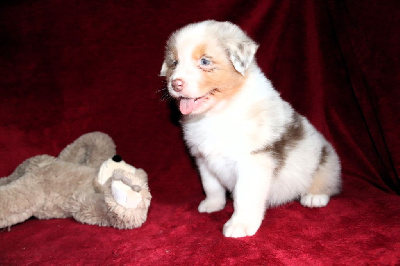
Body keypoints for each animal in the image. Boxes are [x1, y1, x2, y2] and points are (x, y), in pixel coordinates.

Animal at [159, 20, 340, 237]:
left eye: (204, 61)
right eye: (174, 63)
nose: (175, 84)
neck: (218, 111)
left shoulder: (253, 160)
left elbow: (244, 197)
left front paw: (239, 225)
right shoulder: (203, 159)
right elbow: (211, 185)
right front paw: (212, 205)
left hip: (325, 162)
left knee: (328, 181)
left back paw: (315, 197)